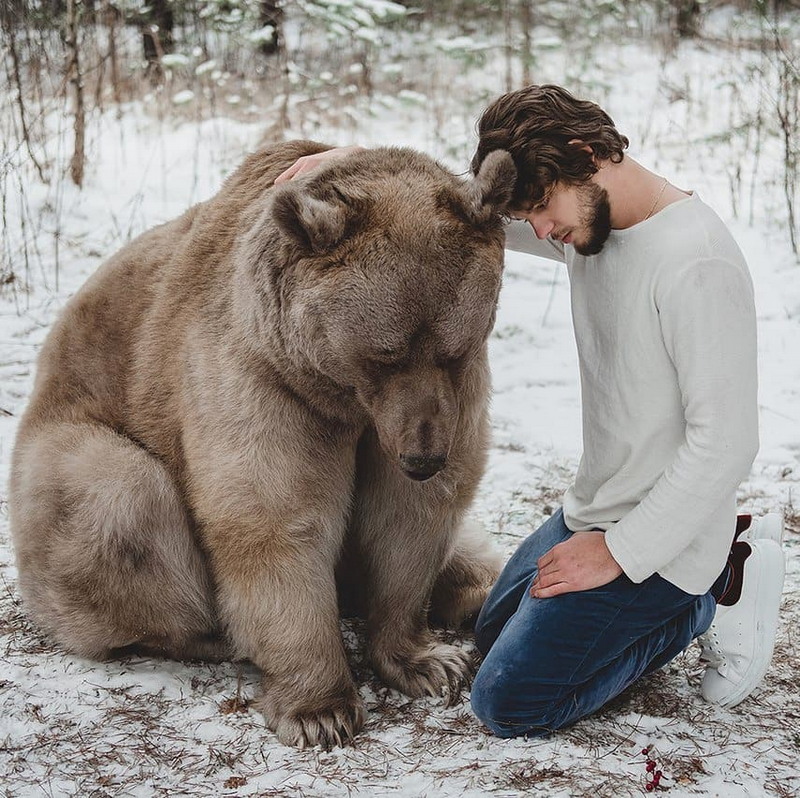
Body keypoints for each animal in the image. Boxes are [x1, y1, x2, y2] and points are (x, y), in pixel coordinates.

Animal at [7, 142, 512, 752]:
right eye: (384, 355)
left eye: (453, 351)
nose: (422, 457)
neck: (343, 397)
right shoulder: (264, 376)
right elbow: (275, 517)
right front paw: (322, 711)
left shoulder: (440, 405)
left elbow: (408, 519)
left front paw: (429, 661)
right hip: (69, 446)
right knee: (118, 498)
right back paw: (208, 634)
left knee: (468, 548)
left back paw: (477, 590)